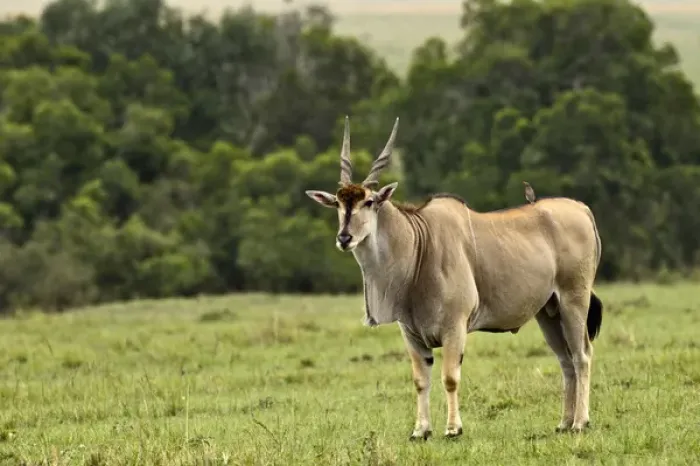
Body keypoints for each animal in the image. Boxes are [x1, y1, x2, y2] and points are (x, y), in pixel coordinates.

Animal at [305, 117, 603, 440]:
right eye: (337, 204)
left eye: (369, 202)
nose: (344, 238)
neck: (419, 243)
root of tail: (582, 209)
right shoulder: (411, 334)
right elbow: (421, 381)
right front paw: (420, 430)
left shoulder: (454, 327)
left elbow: (450, 377)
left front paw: (452, 428)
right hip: (548, 312)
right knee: (565, 359)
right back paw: (564, 422)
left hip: (573, 301)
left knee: (582, 355)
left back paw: (580, 422)